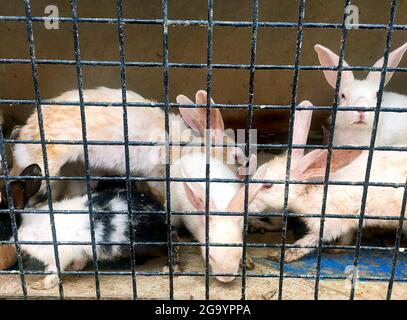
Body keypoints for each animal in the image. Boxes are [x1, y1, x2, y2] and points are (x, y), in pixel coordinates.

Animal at [250, 105, 406, 262]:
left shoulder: (329, 223)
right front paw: (337, 249)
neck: (308, 189)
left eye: (268, 185)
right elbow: (347, 238)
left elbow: (308, 241)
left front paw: (281, 255)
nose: (245, 203)